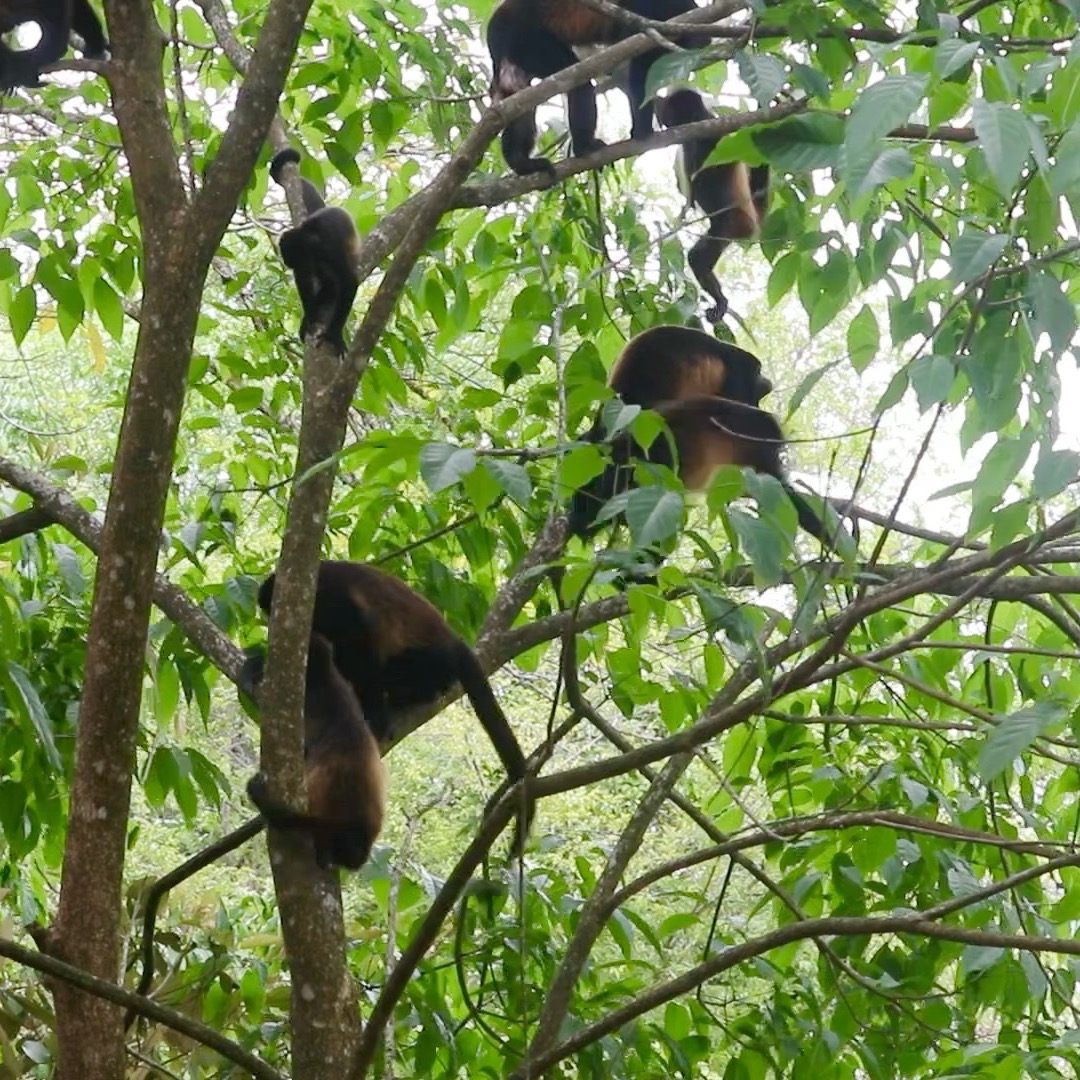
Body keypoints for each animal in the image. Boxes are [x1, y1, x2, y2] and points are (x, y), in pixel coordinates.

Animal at [257, 561, 534, 851]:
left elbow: (358, 637)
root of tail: (455, 642)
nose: (271, 625)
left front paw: (375, 718)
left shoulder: (330, 600)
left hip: (424, 661)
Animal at [269, 147, 360, 356]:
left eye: (291, 257)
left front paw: (334, 335)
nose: (288, 263)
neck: (307, 236)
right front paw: (309, 316)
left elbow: (349, 281)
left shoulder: (327, 249)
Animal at [486, 0, 704, 176]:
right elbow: (640, 70)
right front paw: (642, 132)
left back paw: (521, 162)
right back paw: (583, 148)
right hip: (525, 40)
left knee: (519, 97)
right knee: (578, 84)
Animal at [655, 89, 770, 323]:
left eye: (671, 111)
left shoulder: (714, 131)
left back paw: (721, 301)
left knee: (698, 257)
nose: (663, 120)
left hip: (731, 223)